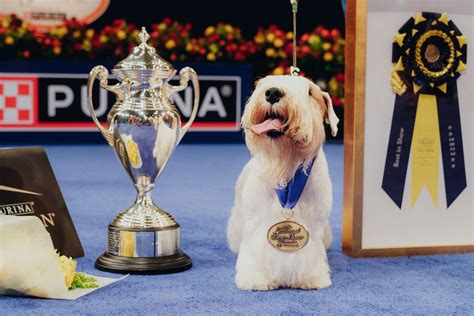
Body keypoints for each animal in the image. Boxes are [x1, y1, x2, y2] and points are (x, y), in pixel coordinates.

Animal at [228, 75, 338, 290]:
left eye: (310, 92)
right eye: (262, 84)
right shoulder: (256, 225)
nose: (273, 93)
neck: (286, 169)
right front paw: (255, 278)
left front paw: (311, 277)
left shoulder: (314, 226)